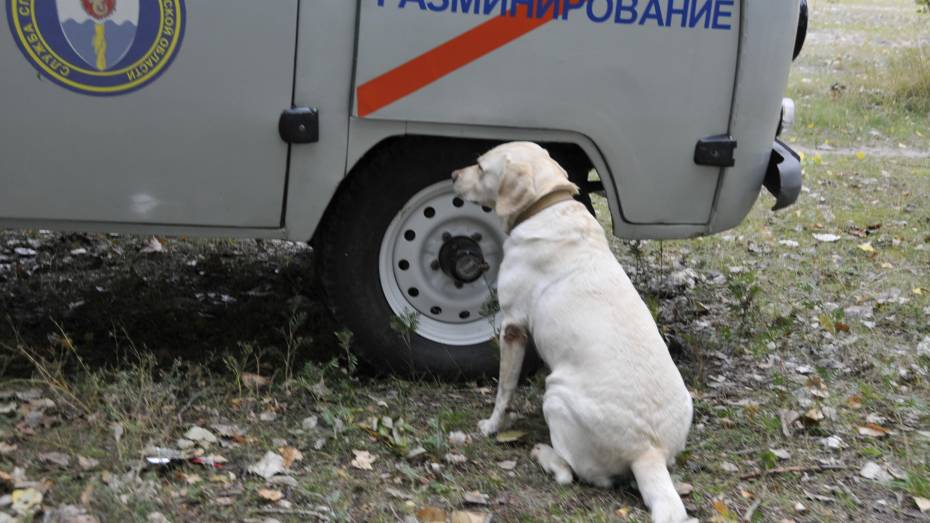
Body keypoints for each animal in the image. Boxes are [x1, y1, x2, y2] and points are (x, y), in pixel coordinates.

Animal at [450, 143, 696, 523]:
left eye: (479, 166)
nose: (452, 175)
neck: (545, 207)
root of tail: (648, 452)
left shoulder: (513, 327)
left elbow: (504, 389)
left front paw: (491, 427)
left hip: (556, 394)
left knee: (574, 472)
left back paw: (543, 453)